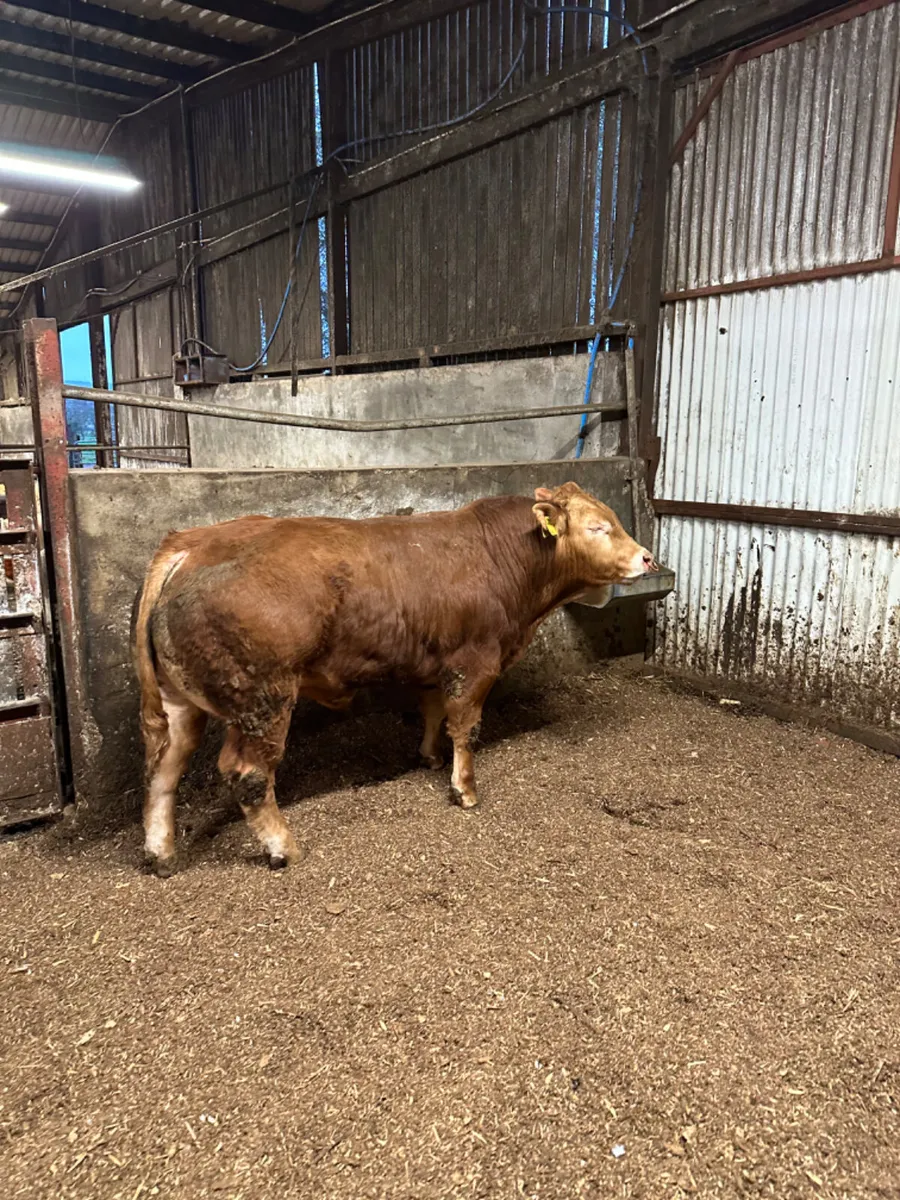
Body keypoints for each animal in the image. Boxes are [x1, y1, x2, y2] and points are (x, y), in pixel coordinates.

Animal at [132, 482, 656, 875]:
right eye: (598, 526)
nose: (648, 558)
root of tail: (192, 542)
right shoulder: (476, 662)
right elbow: (466, 726)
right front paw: (464, 789)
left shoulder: (436, 663)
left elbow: (433, 712)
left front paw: (428, 756)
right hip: (264, 697)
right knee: (248, 773)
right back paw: (284, 847)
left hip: (179, 701)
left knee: (163, 767)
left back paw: (162, 854)